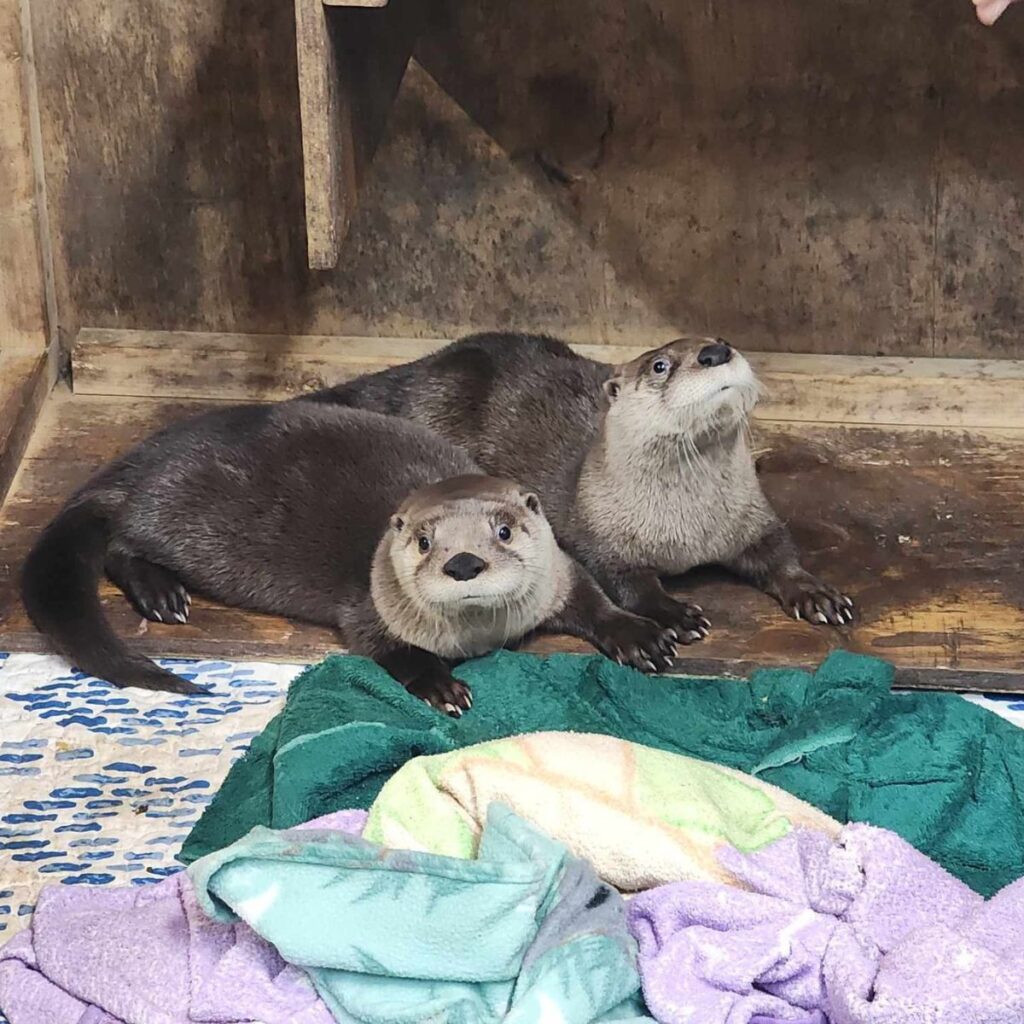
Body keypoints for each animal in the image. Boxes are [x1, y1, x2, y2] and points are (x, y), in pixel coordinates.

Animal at [21, 402, 676, 711]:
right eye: (423, 541)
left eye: (506, 531)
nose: (463, 563)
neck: (479, 634)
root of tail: (140, 458)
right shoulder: (370, 606)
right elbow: (385, 649)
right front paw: (441, 686)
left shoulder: (555, 572)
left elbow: (590, 594)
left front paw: (641, 635)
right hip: (170, 513)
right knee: (120, 543)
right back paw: (161, 594)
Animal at [306, 333, 853, 632]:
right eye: (660, 365)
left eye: (722, 339)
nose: (716, 352)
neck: (687, 531)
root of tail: (427, 366)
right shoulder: (601, 535)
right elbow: (628, 583)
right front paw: (675, 613)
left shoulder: (752, 518)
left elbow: (781, 553)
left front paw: (817, 594)